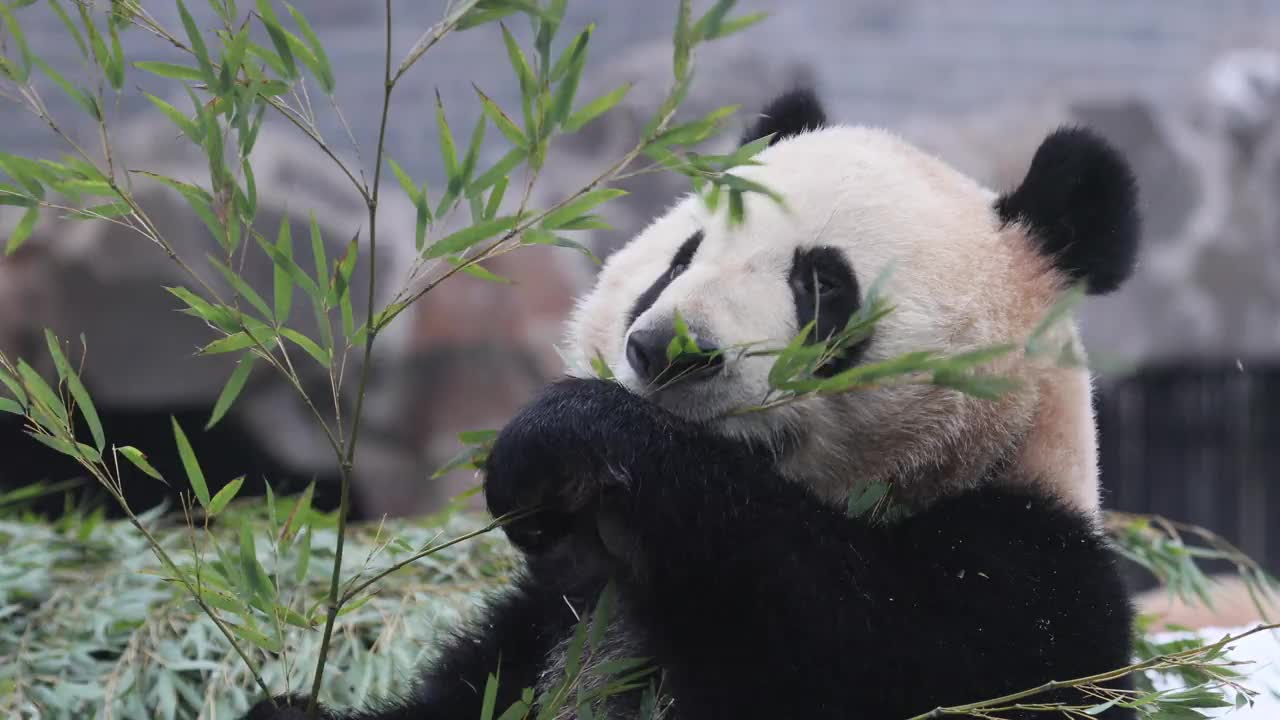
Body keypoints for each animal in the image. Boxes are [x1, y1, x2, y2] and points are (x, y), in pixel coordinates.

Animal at [247, 88, 1141, 717]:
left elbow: (865, 628)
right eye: (681, 258)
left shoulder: (1028, 590)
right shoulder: (550, 619)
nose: (666, 351)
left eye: (824, 286)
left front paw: (563, 440)